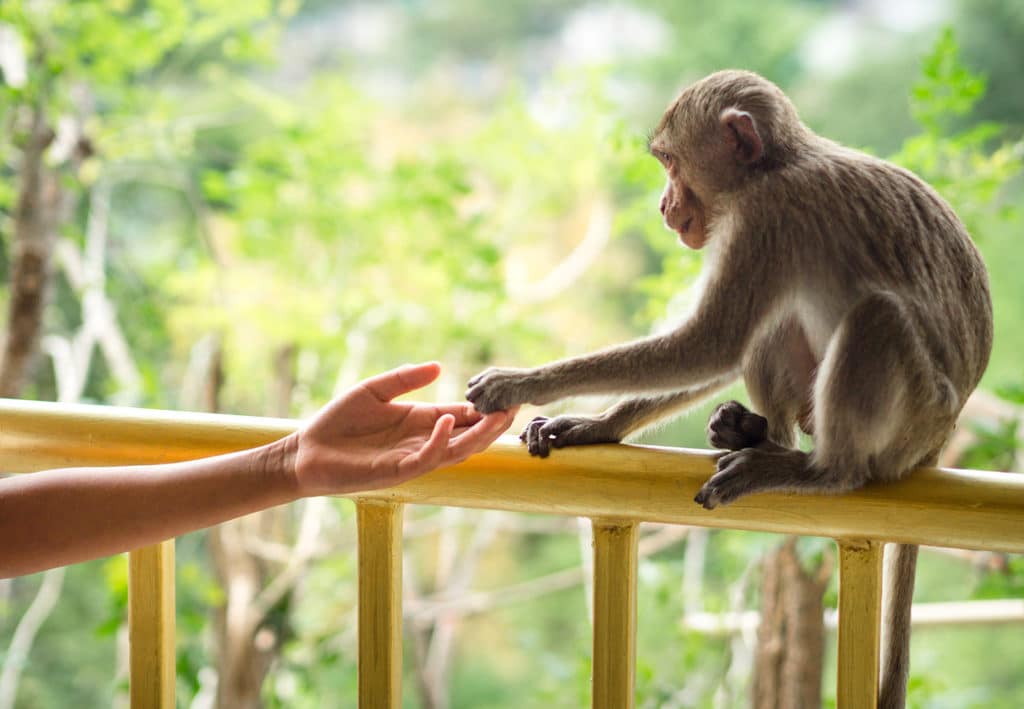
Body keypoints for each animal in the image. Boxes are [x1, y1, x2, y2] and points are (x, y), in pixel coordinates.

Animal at [466, 67, 991, 709]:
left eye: (670, 162)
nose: (664, 205)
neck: (773, 167)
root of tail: (942, 435)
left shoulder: (767, 216)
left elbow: (710, 341)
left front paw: (520, 383)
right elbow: (724, 348)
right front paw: (595, 424)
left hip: (913, 415)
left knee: (876, 319)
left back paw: (816, 470)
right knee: (778, 328)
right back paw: (760, 436)